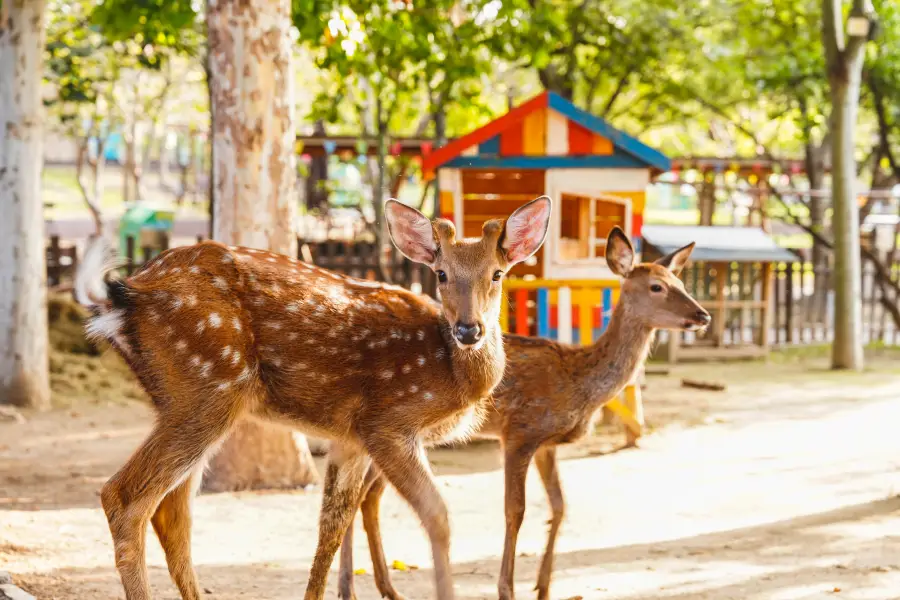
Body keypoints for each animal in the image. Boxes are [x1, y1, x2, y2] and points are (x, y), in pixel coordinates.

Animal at [75, 198, 556, 600]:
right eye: (441, 274)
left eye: (497, 274)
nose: (469, 329)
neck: (451, 374)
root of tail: (123, 298)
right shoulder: (386, 421)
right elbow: (437, 516)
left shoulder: (349, 438)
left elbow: (332, 527)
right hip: (206, 388)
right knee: (125, 498)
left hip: (190, 400)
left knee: (172, 512)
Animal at [334, 227, 708, 600]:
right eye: (657, 287)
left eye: (680, 282)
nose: (702, 315)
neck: (578, 383)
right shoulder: (519, 431)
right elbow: (515, 510)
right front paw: (507, 588)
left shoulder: (547, 443)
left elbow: (559, 505)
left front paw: (543, 586)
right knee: (359, 496)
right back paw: (351, 588)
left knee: (366, 497)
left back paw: (384, 587)